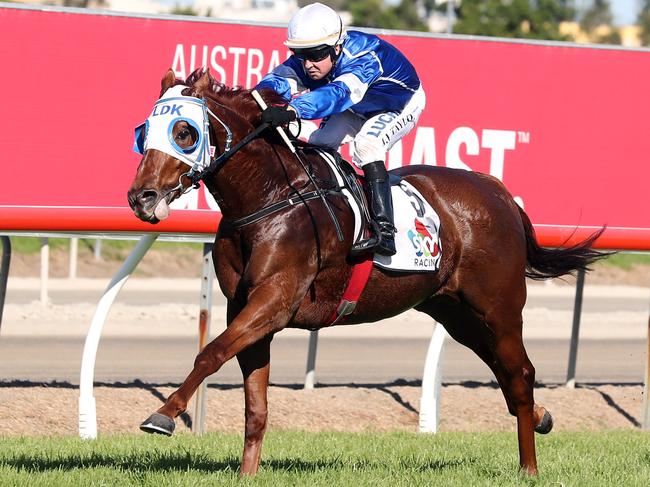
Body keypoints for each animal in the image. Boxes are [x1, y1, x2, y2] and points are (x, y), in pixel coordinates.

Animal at [126, 68, 604, 476]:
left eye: (184, 132)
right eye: (144, 131)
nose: (140, 197)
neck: (271, 197)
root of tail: (499, 192)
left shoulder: (275, 300)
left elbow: (210, 353)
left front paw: (163, 415)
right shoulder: (244, 307)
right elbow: (254, 403)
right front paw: (246, 474)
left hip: (498, 307)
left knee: (519, 374)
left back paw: (529, 467)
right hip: (455, 313)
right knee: (505, 371)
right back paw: (541, 416)